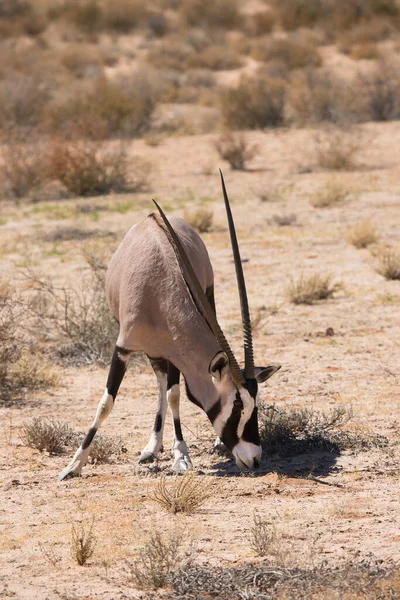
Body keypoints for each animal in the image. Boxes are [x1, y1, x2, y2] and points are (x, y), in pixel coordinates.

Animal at [58, 171, 282, 480]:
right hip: (153, 350)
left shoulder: (175, 351)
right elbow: (106, 403)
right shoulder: (123, 347)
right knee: (159, 380)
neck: (159, 288)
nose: (255, 458)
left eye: (254, 405)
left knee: (166, 385)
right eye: (237, 404)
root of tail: (154, 217)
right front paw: (73, 464)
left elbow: (174, 394)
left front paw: (181, 456)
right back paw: (152, 447)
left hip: (202, 306)